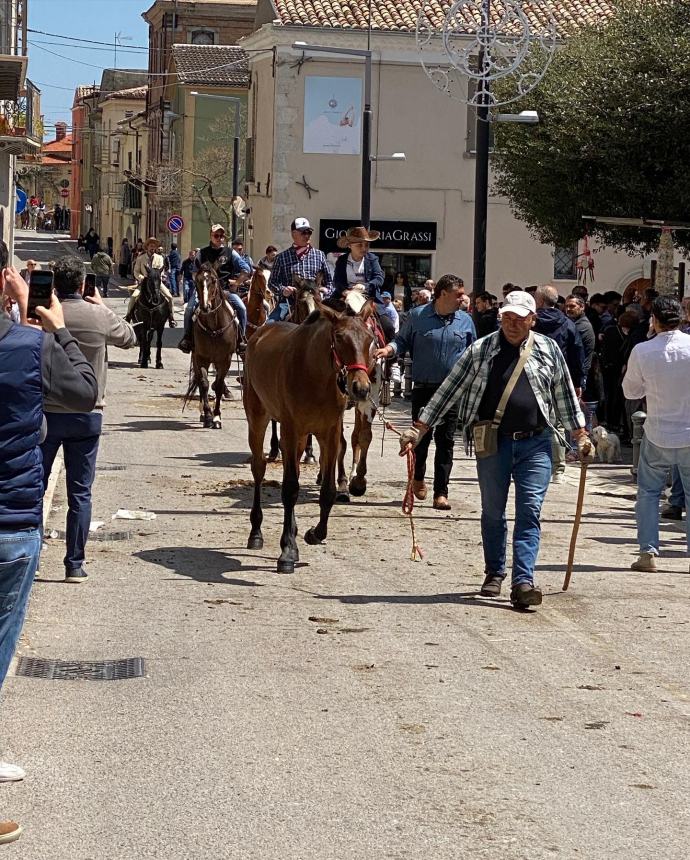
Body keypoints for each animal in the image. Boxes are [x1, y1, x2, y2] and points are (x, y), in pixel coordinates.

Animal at [184, 264, 238, 428]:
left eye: (213, 280)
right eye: (197, 281)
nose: (205, 307)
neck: (214, 327)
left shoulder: (225, 359)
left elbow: (218, 385)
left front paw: (217, 417)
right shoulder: (201, 358)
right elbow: (204, 383)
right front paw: (208, 415)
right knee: (201, 383)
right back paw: (203, 413)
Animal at [241, 302, 370, 572]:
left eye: (369, 339)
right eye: (339, 337)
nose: (360, 388)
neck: (315, 375)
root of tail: (260, 333)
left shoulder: (329, 433)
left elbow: (328, 491)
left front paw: (313, 534)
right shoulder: (290, 430)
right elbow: (290, 489)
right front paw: (287, 551)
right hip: (258, 419)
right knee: (258, 468)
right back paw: (256, 533)